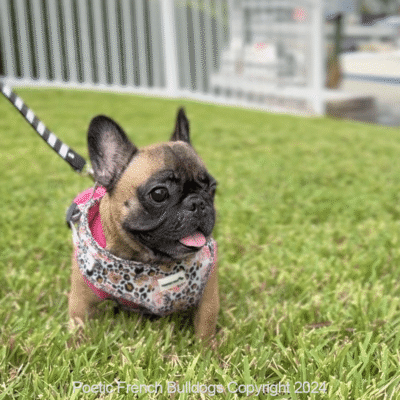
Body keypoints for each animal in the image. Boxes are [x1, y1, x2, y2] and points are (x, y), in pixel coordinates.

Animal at [67, 108, 219, 342]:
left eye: (212, 188)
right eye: (159, 194)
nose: (198, 203)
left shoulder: (209, 293)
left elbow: (206, 326)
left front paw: (206, 350)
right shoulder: (80, 302)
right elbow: (79, 325)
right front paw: (76, 346)